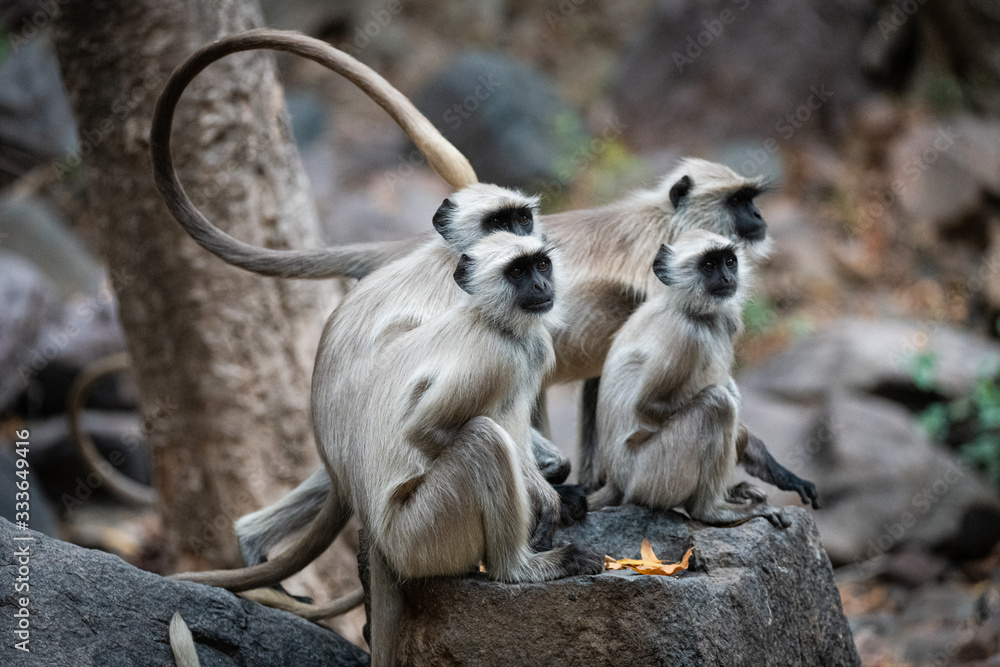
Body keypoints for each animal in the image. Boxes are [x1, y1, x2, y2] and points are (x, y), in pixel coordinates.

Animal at [587, 230, 788, 528]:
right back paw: (712, 510)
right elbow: (647, 405)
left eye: (729, 261)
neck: (693, 310)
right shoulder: (685, 334)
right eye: (709, 265)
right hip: (651, 474)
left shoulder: (728, 320)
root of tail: (615, 479)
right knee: (717, 403)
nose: (727, 278)